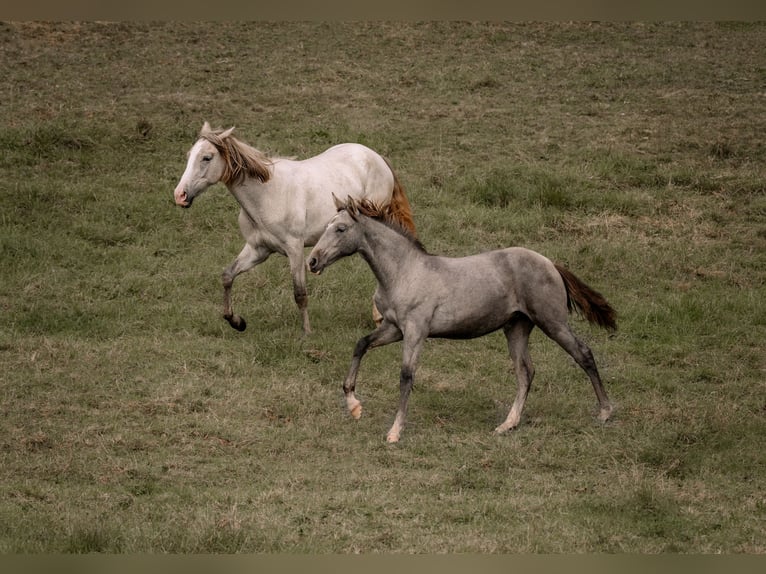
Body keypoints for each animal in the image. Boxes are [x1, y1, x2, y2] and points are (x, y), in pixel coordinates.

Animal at [173, 124, 416, 336]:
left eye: (207, 157)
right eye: (189, 155)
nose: (180, 195)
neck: (266, 194)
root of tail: (377, 158)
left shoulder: (295, 249)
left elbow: (299, 294)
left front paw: (307, 333)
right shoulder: (258, 250)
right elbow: (227, 276)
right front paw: (237, 322)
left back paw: (379, 318)